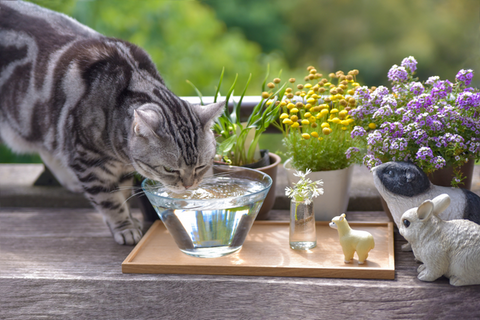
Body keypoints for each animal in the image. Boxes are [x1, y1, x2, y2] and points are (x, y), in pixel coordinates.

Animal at [0, 0, 225, 245]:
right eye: (169, 169)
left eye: (201, 166)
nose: (189, 185)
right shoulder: (89, 164)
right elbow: (110, 201)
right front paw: (124, 227)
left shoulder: (123, 170)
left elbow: (123, 195)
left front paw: (130, 219)